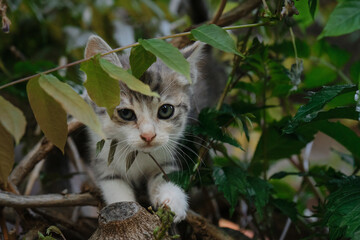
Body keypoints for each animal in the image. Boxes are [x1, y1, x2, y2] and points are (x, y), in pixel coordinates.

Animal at [83, 34, 204, 222]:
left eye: (165, 110)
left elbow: (162, 175)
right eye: (126, 113)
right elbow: (114, 185)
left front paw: (173, 198)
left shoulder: (165, 157)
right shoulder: (102, 159)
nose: (148, 135)